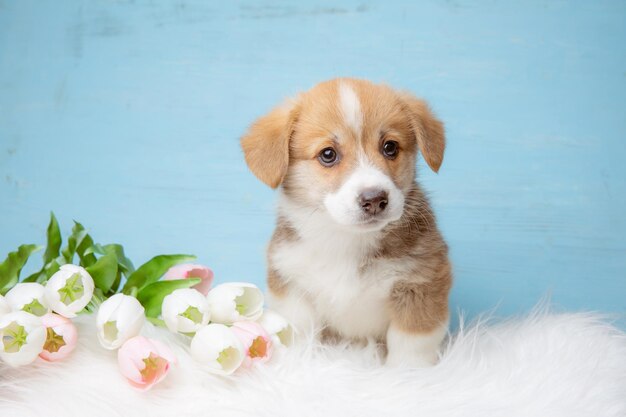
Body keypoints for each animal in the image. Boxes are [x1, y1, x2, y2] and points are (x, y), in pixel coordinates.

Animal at [239, 79, 448, 368]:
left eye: (390, 147)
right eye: (328, 154)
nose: (375, 199)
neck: (346, 238)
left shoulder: (421, 286)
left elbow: (410, 347)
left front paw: (408, 374)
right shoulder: (292, 285)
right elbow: (301, 336)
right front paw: (300, 364)